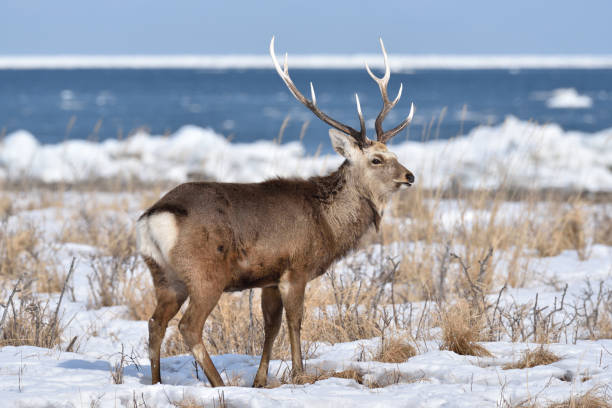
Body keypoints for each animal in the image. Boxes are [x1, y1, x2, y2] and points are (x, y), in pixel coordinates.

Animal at [136, 37, 416, 388]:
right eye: (377, 159)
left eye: (394, 153)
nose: (410, 176)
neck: (328, 223)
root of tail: (157, 216)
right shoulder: (297, 267)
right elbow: (295, 321)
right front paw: (299, 373)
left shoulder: (268, 277)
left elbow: (271, 325)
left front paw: (260, 380)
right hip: (204, 273)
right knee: (189, 326)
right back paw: (219, 385)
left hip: (164, 275)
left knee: (154, 323)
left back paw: (157, 382)